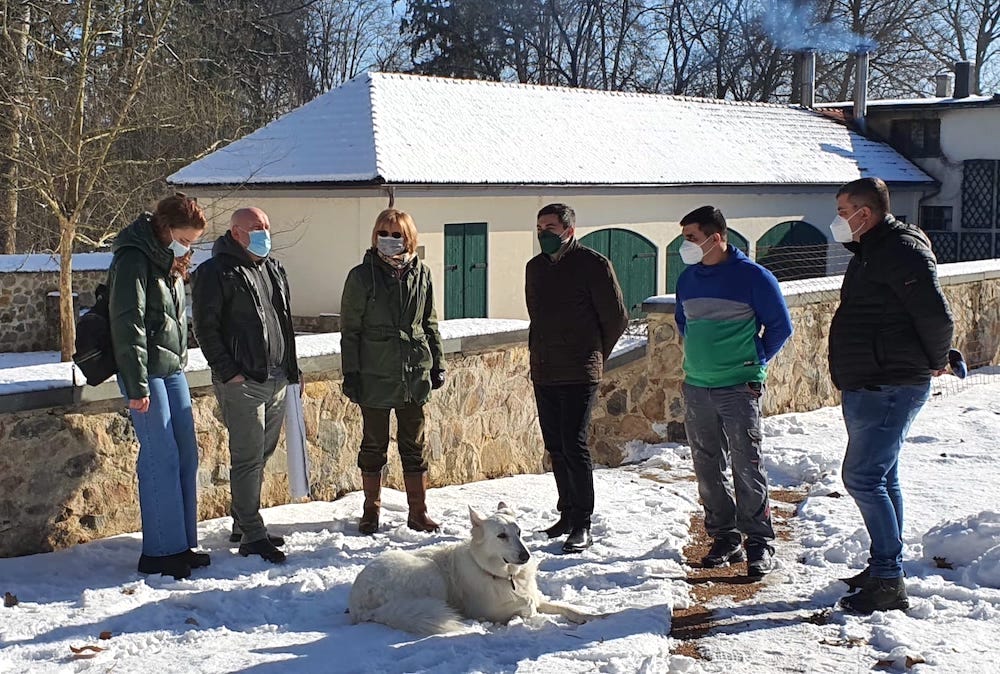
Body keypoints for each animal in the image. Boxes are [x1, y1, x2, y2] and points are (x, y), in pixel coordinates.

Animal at [348, 502, 600, 632]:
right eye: (501, 536)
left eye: (519, 532)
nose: (526, 556)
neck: (502, 576)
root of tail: (358, 605)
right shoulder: (489, 611)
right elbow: (526, 606)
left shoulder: (538, 597)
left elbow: (568, 608)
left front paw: (595, 616)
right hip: (431, 574)